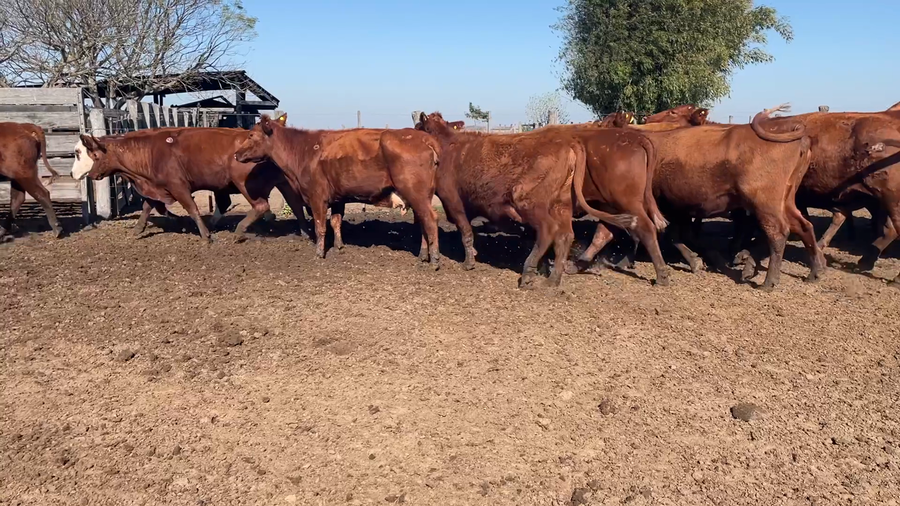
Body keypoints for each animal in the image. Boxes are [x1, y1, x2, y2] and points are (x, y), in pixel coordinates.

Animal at [73, 123, 309, 242]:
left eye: (90, 154)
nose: (88, 175)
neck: (151, 151)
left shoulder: (178, 186)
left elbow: (192, 209)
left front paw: (205, 236)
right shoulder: (159, 186)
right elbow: (148, 206)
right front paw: (138, 229)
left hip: (245, 184)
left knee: (261, 206)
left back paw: (239, 231)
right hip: (284, 182)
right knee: (296, 206)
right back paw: (305, 232)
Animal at [233, 115, 442, 267]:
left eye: (251, 135)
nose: (236, 154)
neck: (304, 150)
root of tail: (424, 138)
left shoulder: (317, 197)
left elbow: (320, 225)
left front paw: (319, 253)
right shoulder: (337, 198)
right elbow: (335, 222)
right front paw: (338, 246)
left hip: (416, 193)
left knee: (431, 219)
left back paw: (435, 259)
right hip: (420, 196)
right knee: (424, 222)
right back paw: (423, 255)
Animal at [414, 111, 636, 288]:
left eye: (419, 127)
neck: (448, 147)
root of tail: (568, 143)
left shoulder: (454, 202)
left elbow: (466, 232)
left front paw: (468, 263)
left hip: (528, 201)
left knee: (547, 231)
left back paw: (528, 271)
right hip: (562, 206)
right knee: (564, 237)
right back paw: (553, 280)